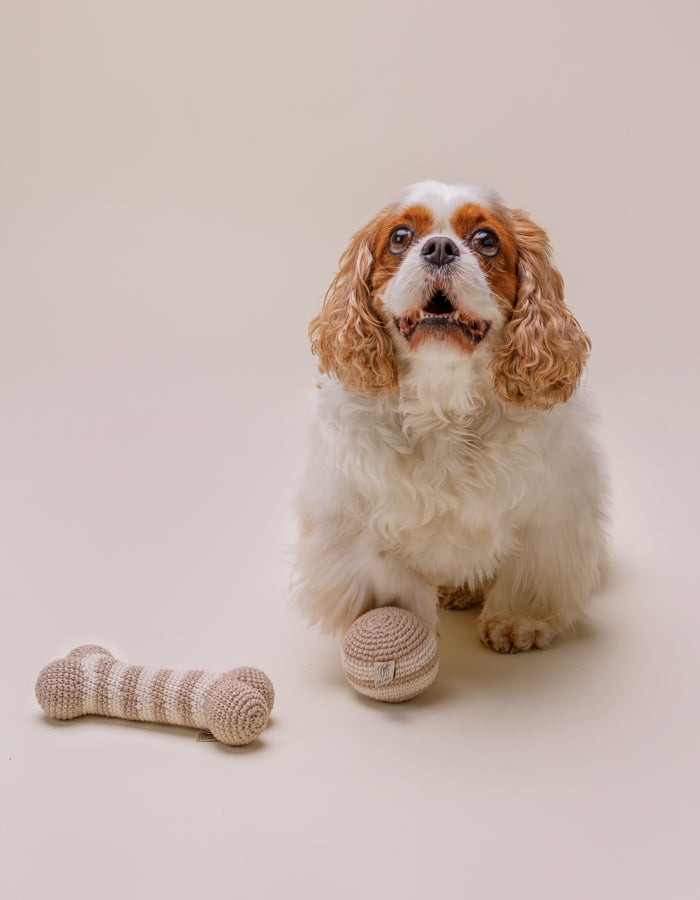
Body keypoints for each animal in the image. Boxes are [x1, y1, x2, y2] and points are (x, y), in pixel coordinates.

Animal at [292, 179, 604, 652]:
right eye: (400, 236)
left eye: (486, 240)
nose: (439, 248)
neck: (443, 396)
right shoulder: (360, 517)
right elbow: (391, 577)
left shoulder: (550, 509)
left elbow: (529, 569)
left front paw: (517, 619)